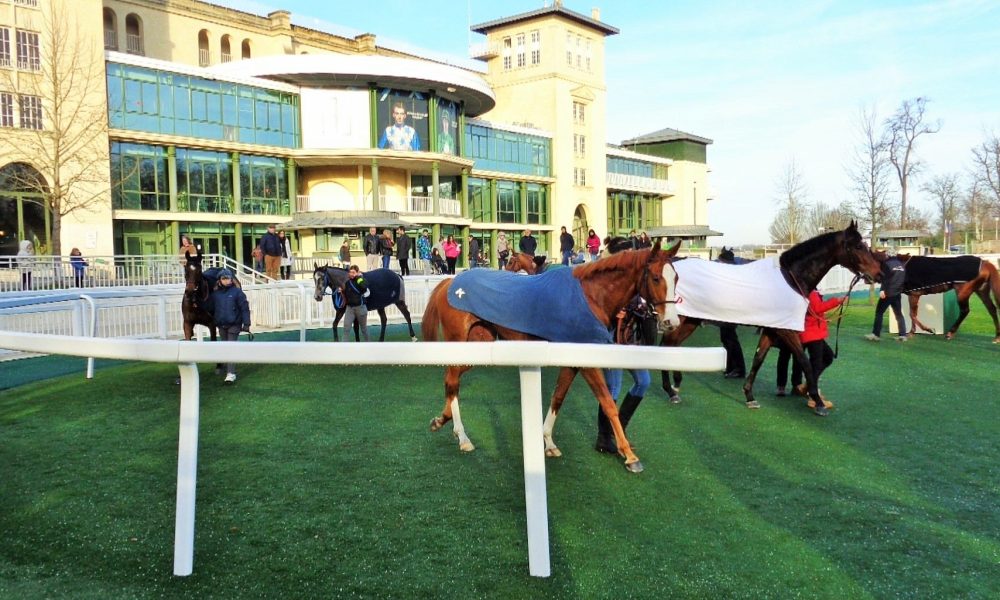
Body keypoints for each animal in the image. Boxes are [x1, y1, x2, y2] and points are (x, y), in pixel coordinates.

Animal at [418, 239, 684, 474]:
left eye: (676, 278)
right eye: (656, 277)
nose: (671, 322)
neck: (591, 296)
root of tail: (450, 282)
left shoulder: (572, 361)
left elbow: (558, 397)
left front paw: (548, 442)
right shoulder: (586, 361)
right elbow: (608, 403)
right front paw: (630, 456)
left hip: (480, 344)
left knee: (452, 378)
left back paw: (442, 420)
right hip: (459, 340)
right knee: (452, 380)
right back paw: (462, 436)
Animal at [664, 223, 884, 414]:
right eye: (858, 246)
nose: (879, 274)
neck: (792, 277)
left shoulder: (771, 329)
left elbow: (758, 359)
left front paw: (749, 396)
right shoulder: (787, 330)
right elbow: (804, 361)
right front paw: (818, 402)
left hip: (690, 321)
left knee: (672, 345)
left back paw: (675, 386)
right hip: (681, 320)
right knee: (666, 345)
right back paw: (670, 390)